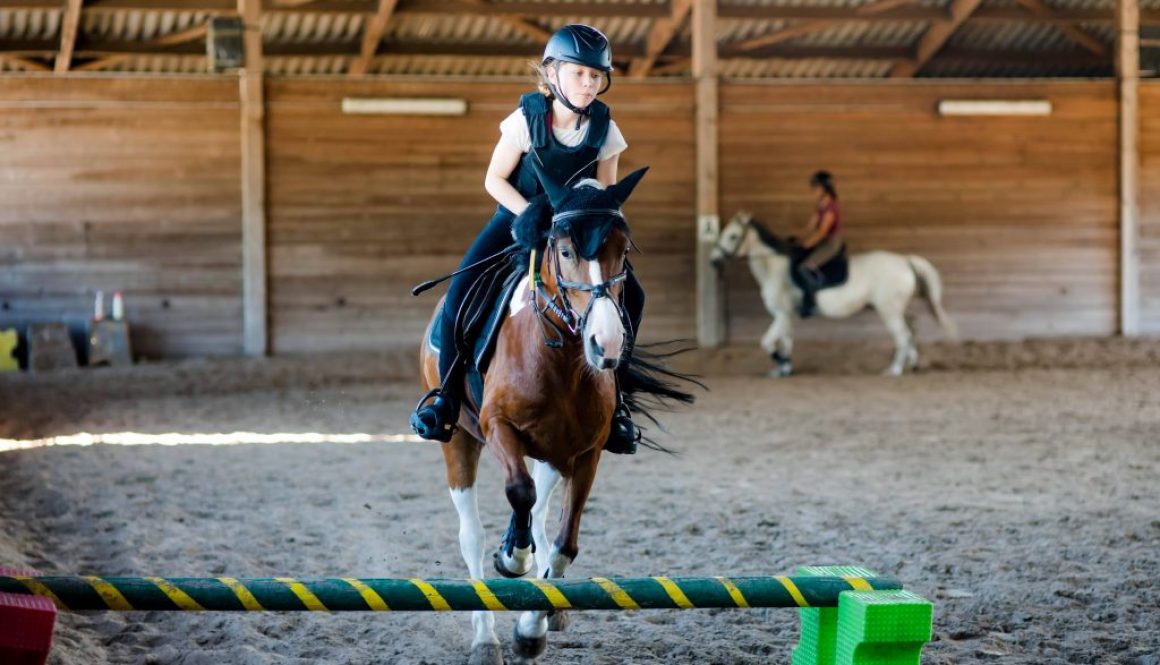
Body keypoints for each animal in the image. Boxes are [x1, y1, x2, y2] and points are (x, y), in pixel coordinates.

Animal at [418, 167, 674, 665]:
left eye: (623, 250)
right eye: (566, 250)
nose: (606, 344)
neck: (559, 357)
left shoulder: (588, 451)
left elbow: (562, 543)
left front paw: (532, 627)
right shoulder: (499, 428)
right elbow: (518, 492)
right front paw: (512, 560)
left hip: (554, 453)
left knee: (538, 512)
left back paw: (547, 605)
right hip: (458, 438)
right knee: (474, 533)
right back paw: (486, 637)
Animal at [709, 211, 958, 377]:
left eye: (732, 236)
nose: (713, 261)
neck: (774, 268)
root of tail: (905, 260)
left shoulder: (782, 315)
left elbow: (767, 342)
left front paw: (781, 362)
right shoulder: (787, 317)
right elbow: (786, 341)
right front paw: (785, 368)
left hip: (889, 311)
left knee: (903, 335)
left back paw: (894, 370)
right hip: (896, 308)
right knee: (912, 327)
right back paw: (913, 365)